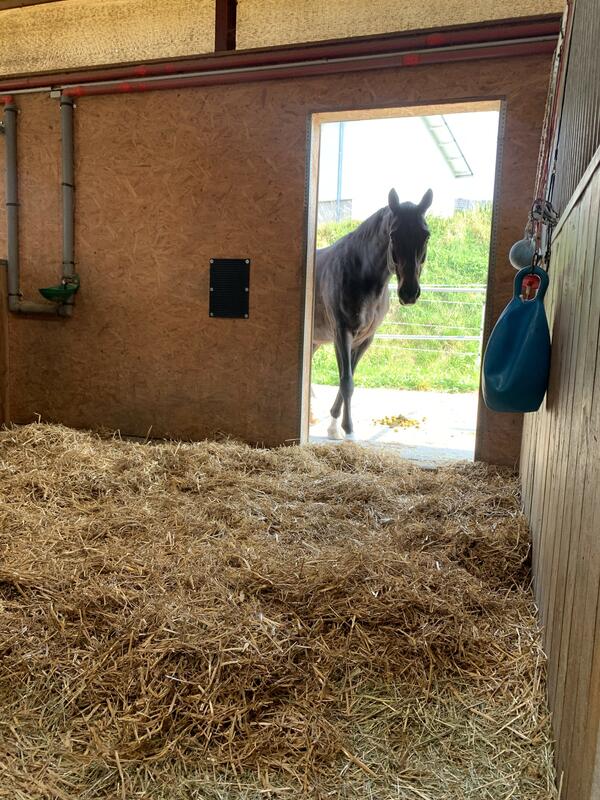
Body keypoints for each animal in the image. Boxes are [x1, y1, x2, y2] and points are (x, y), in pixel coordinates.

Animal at [312, 187, 433, 440]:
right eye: (393, 235)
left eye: (426, 235)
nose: (409, 293)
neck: (361, 275)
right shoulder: (342, 334)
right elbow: (346, 382)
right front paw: (348, 430)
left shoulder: (365, 338)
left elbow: (348, 378)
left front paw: (333, 427)